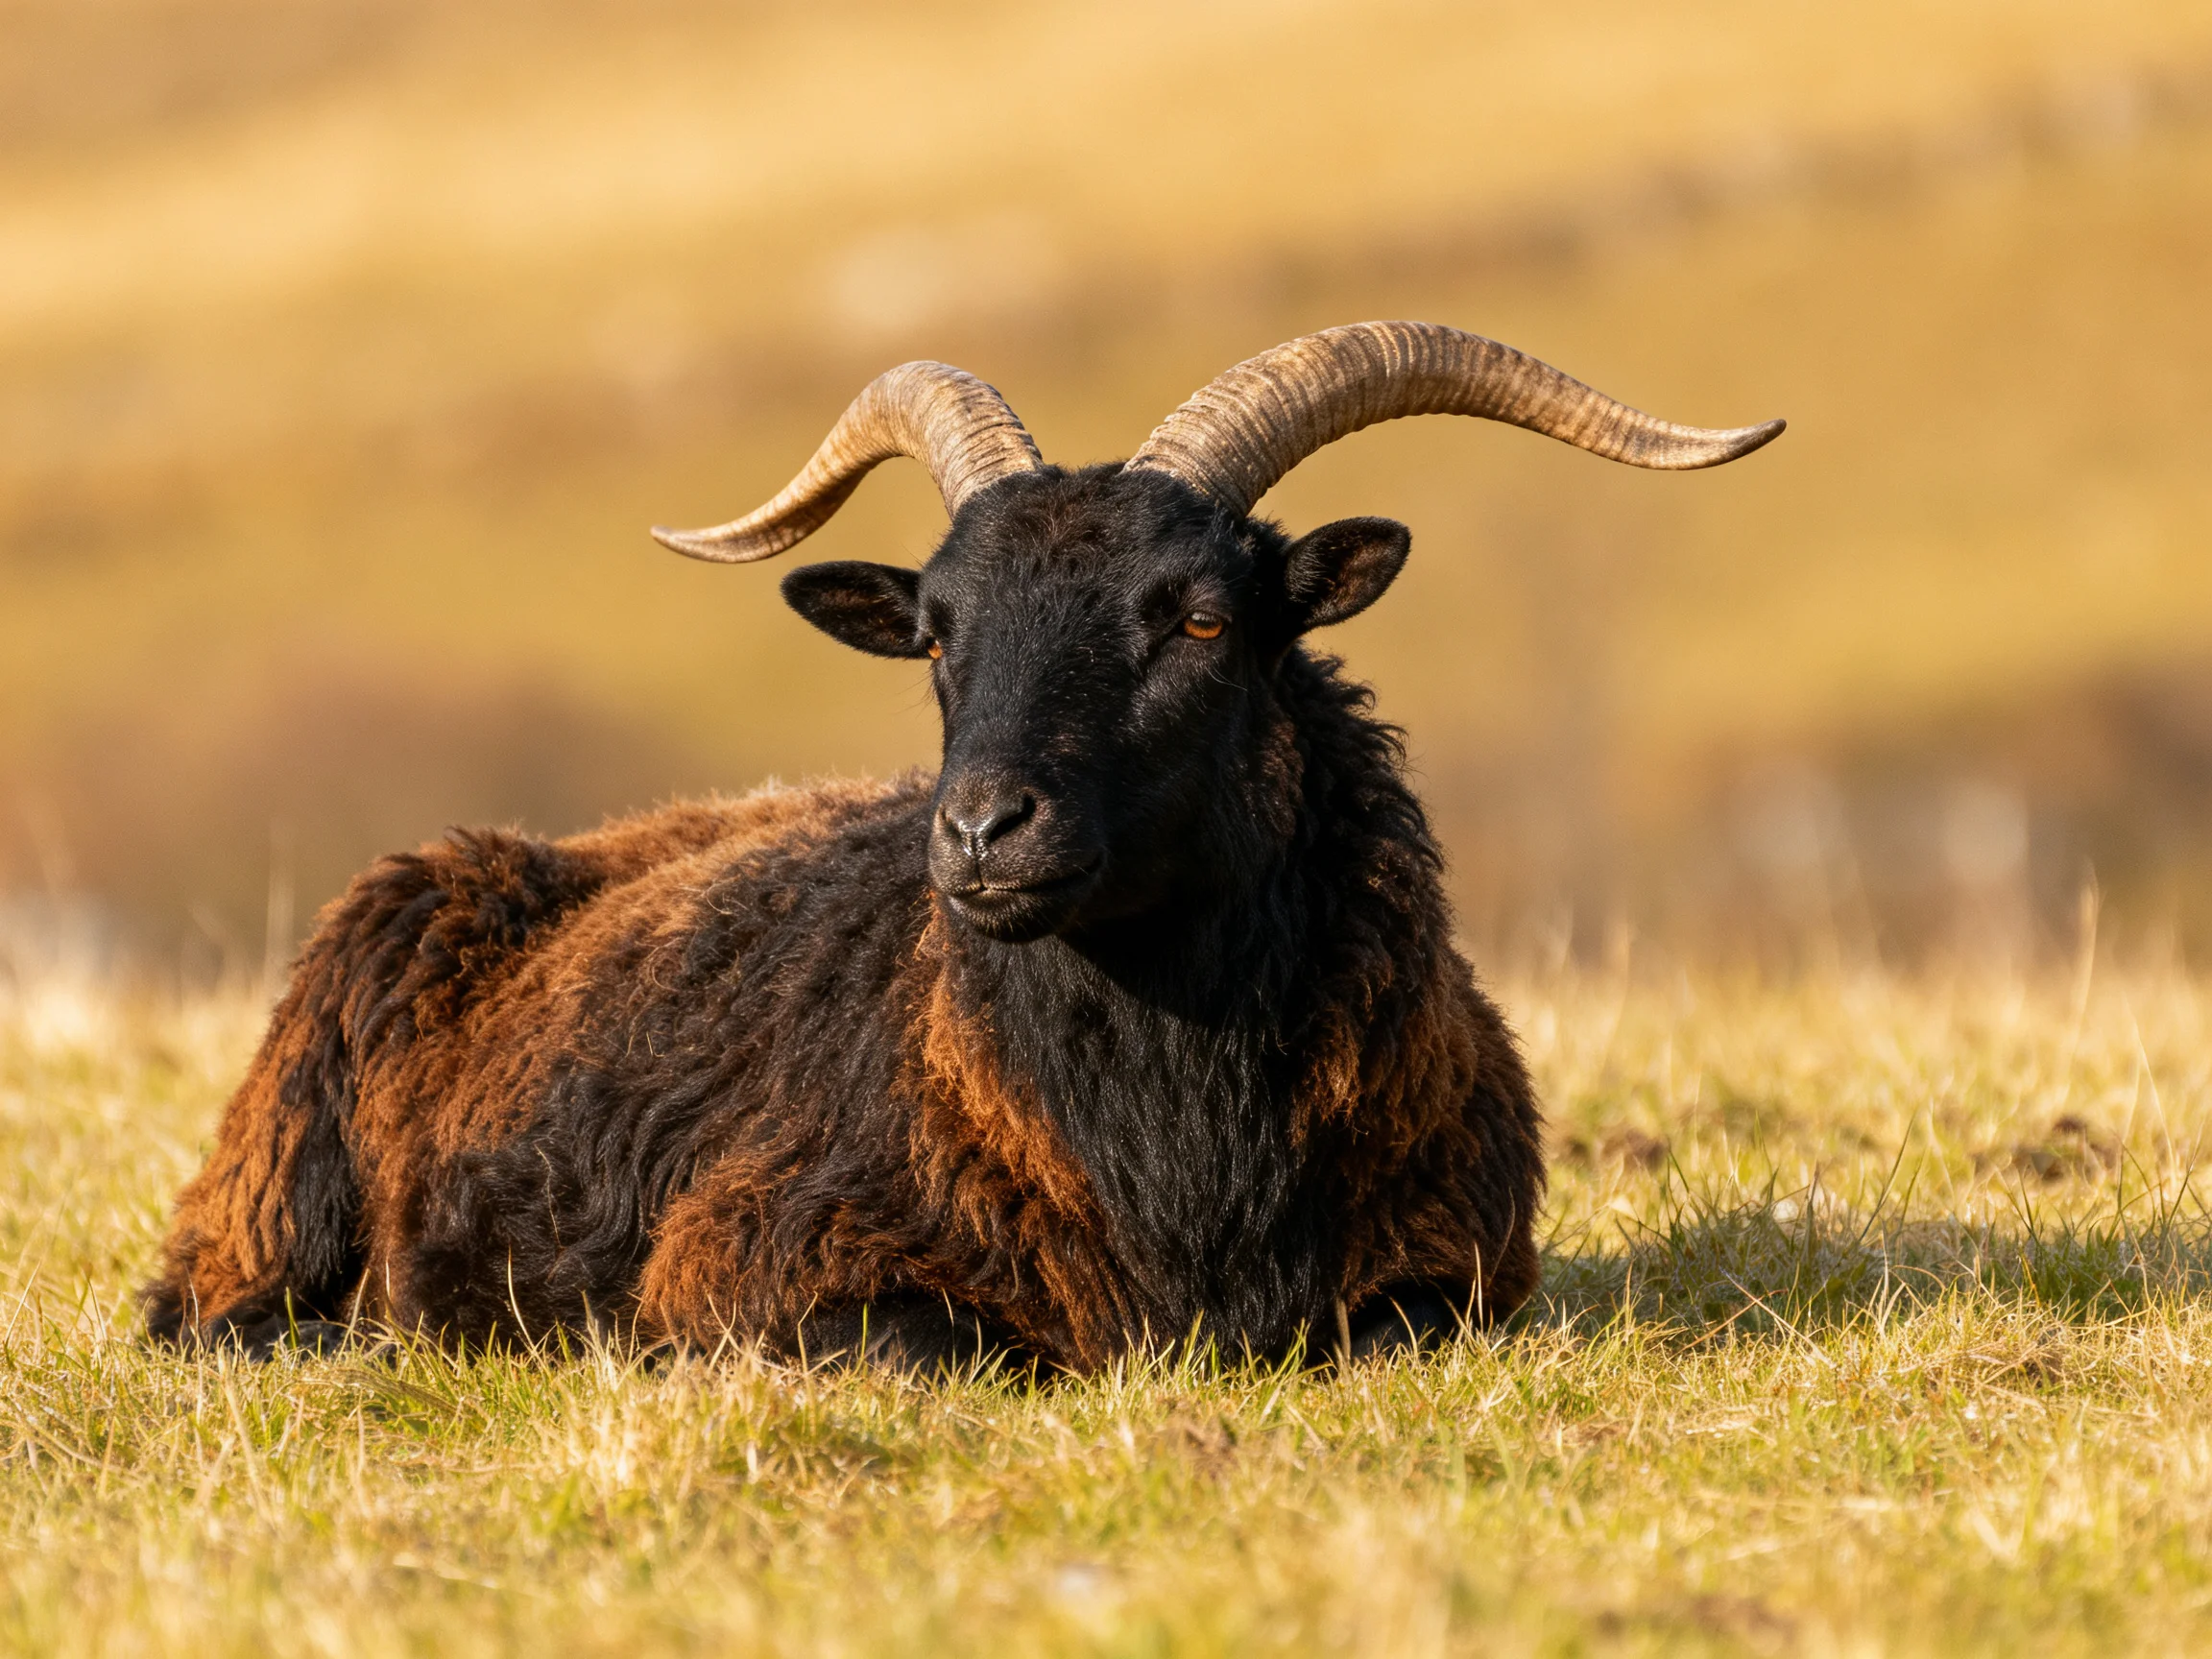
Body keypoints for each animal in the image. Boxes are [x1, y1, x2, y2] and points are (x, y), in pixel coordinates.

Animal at [144, 322, 1781, 1371]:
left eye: (1200, 619)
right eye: (936, 634)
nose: (983, 829)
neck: (1181, 1150)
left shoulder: (1456, 1275)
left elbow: (1396, 1337)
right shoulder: (749, 1259)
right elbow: (953, 1354)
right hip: (266, 1206)